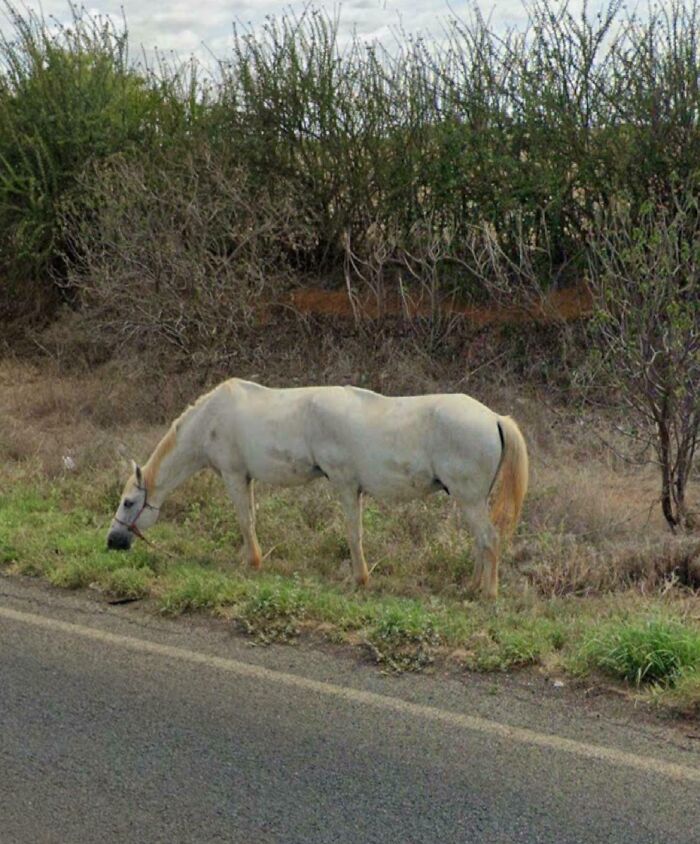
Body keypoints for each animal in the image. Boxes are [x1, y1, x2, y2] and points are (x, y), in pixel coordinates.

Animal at [107, 378, 528, 598]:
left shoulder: (237, 474)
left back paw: (487, 594)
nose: (112, 542)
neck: (214, 417)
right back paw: (472, 586)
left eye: (128, 502)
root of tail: (494, 417)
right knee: (480, 543)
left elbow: (249, 521)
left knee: (489, 540)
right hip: (470, 501)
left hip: (470, 500)